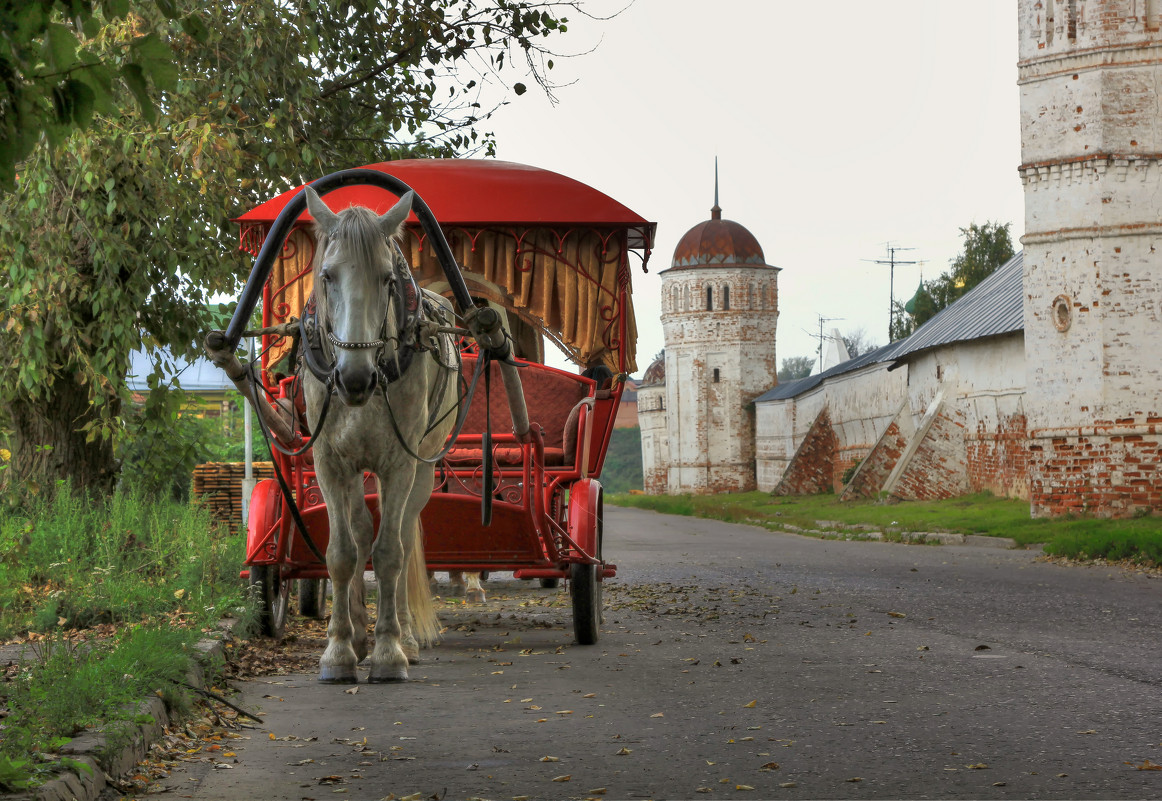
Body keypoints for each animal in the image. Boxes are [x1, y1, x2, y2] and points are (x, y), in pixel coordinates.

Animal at [299, 186, 457, 678]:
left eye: (388, 279)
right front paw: (339, 650)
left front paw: (389, 652)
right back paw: (359, 632)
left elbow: (390, 554)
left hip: (421, 468)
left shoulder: (399, 464)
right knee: (362, 530)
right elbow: (342, 553)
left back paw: (403, 634)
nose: (355, 378)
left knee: (402, 533)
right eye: (327, 276)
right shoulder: (330, 464)